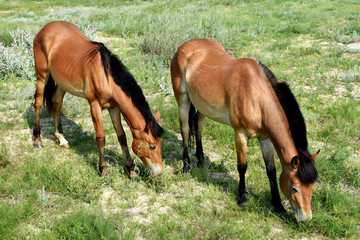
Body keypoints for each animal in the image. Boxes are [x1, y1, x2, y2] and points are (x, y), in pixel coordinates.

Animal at [31, 21, 164, 177]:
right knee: (38, 103)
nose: (159, 172)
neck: (106, 77)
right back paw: (37, 140)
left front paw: (131, 170)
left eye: (160, 142)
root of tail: (45, 28)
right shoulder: (94, 105)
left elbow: (122, 137)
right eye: (152, 146)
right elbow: (100, 138)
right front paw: (104, 170)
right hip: (42, 75)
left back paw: (61, 138)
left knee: (57, 105)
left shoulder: (114, 107)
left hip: (62, 83)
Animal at [170, 39, 320, 221]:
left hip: (203, 105)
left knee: (198, 125)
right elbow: (242, 166)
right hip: (182, 99)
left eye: (312, 186)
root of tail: (185, 47)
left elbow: (271, 170)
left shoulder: (266, 140)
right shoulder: (240, 134)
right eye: (294, 187)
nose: (306, 218)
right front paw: (242, 197)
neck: (256, 96)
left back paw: (200, 159)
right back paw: (186, 166)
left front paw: (278, 205)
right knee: (185, 130)